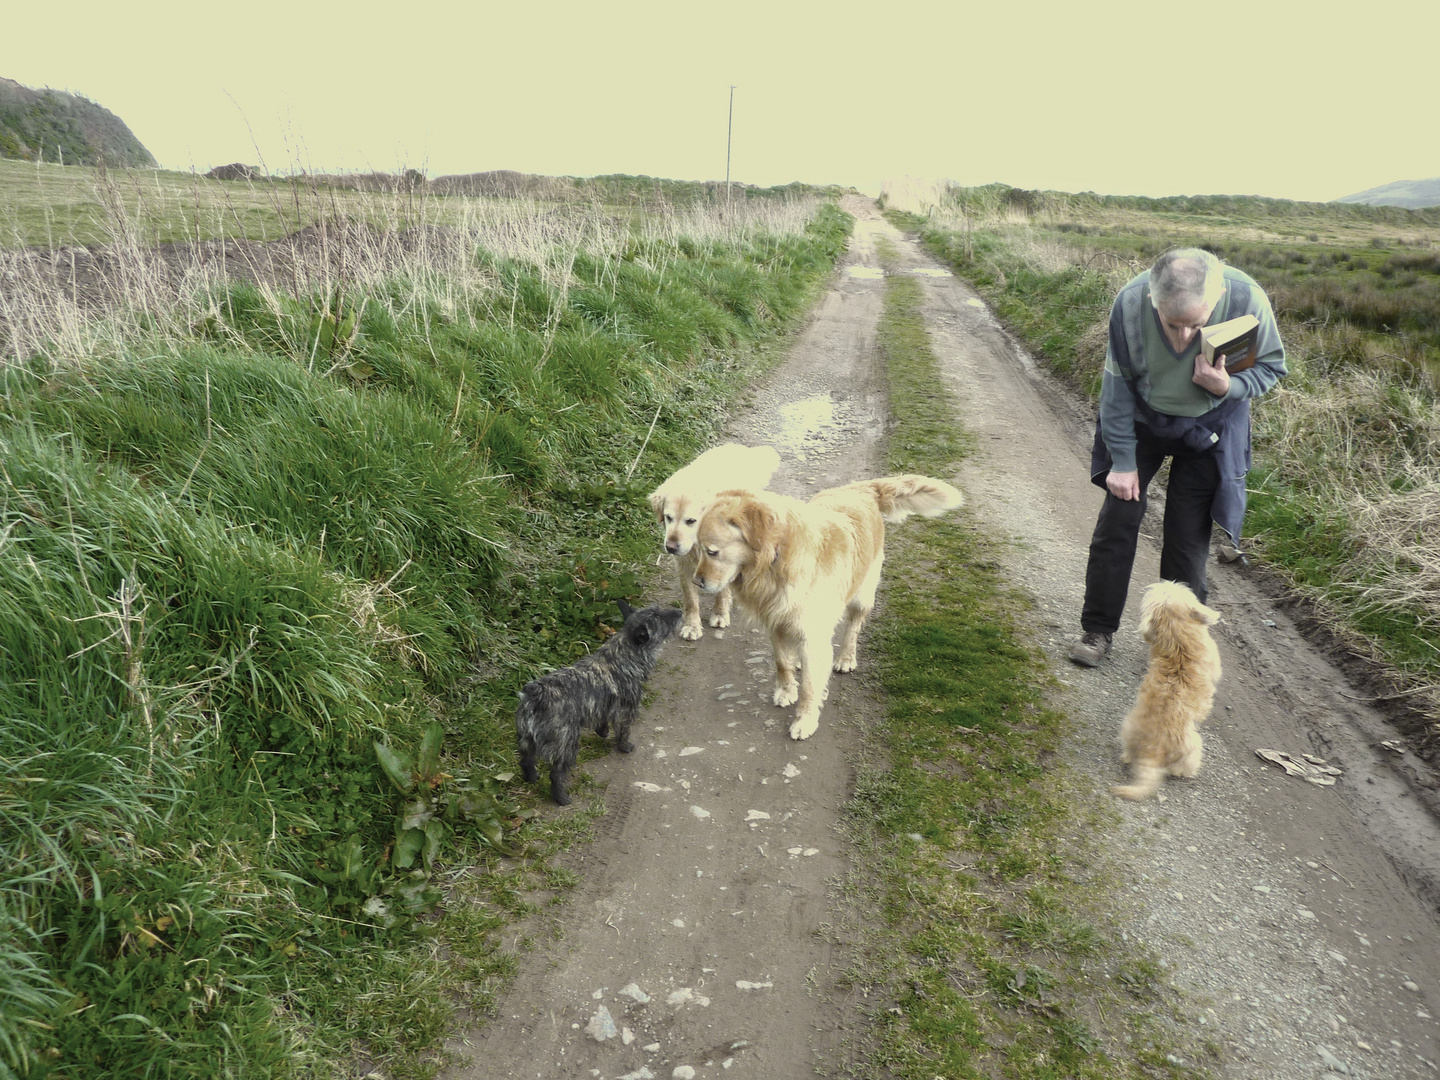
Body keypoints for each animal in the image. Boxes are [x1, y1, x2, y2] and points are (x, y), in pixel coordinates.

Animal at [515, 601, 682, 806]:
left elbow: (602, 720)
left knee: (526, 760)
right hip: (566, 744)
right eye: (660, 618)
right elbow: (623, 730)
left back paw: (531, 777)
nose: (680, 611)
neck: (623, 653)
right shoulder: (626, 710)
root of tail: (534, 695)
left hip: (526, 740)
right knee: (556, 773)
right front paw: (624, 746)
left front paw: (602, 732)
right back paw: (561, 798)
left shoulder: (602, 706)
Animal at [650, 446, 783, 642]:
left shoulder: (726, 558)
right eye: (668, 517)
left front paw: (720, 614)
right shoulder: (684, 564)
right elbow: (690, 600)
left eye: (691, 521)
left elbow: (722, 590)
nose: (671, 547)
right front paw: (692, 626)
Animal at [691, 475, 961, 743]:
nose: (696, 582)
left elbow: (810, 686)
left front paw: (805, 720)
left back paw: (846, 658)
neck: (777, 559)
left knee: (853, 628)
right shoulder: (777, 622)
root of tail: (865, 488)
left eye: (712, 551)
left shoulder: (813, 633)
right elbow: (782, 662)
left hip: (861, 595)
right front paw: (787, 690)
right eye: (699, 548)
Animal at [1105, 584, 1221, 806]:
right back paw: (1186, 772)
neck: (1178, 641)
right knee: (1183, 765)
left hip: (1127, 726)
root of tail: (1154, 750)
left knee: (1129, 754)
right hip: (1194, 745)